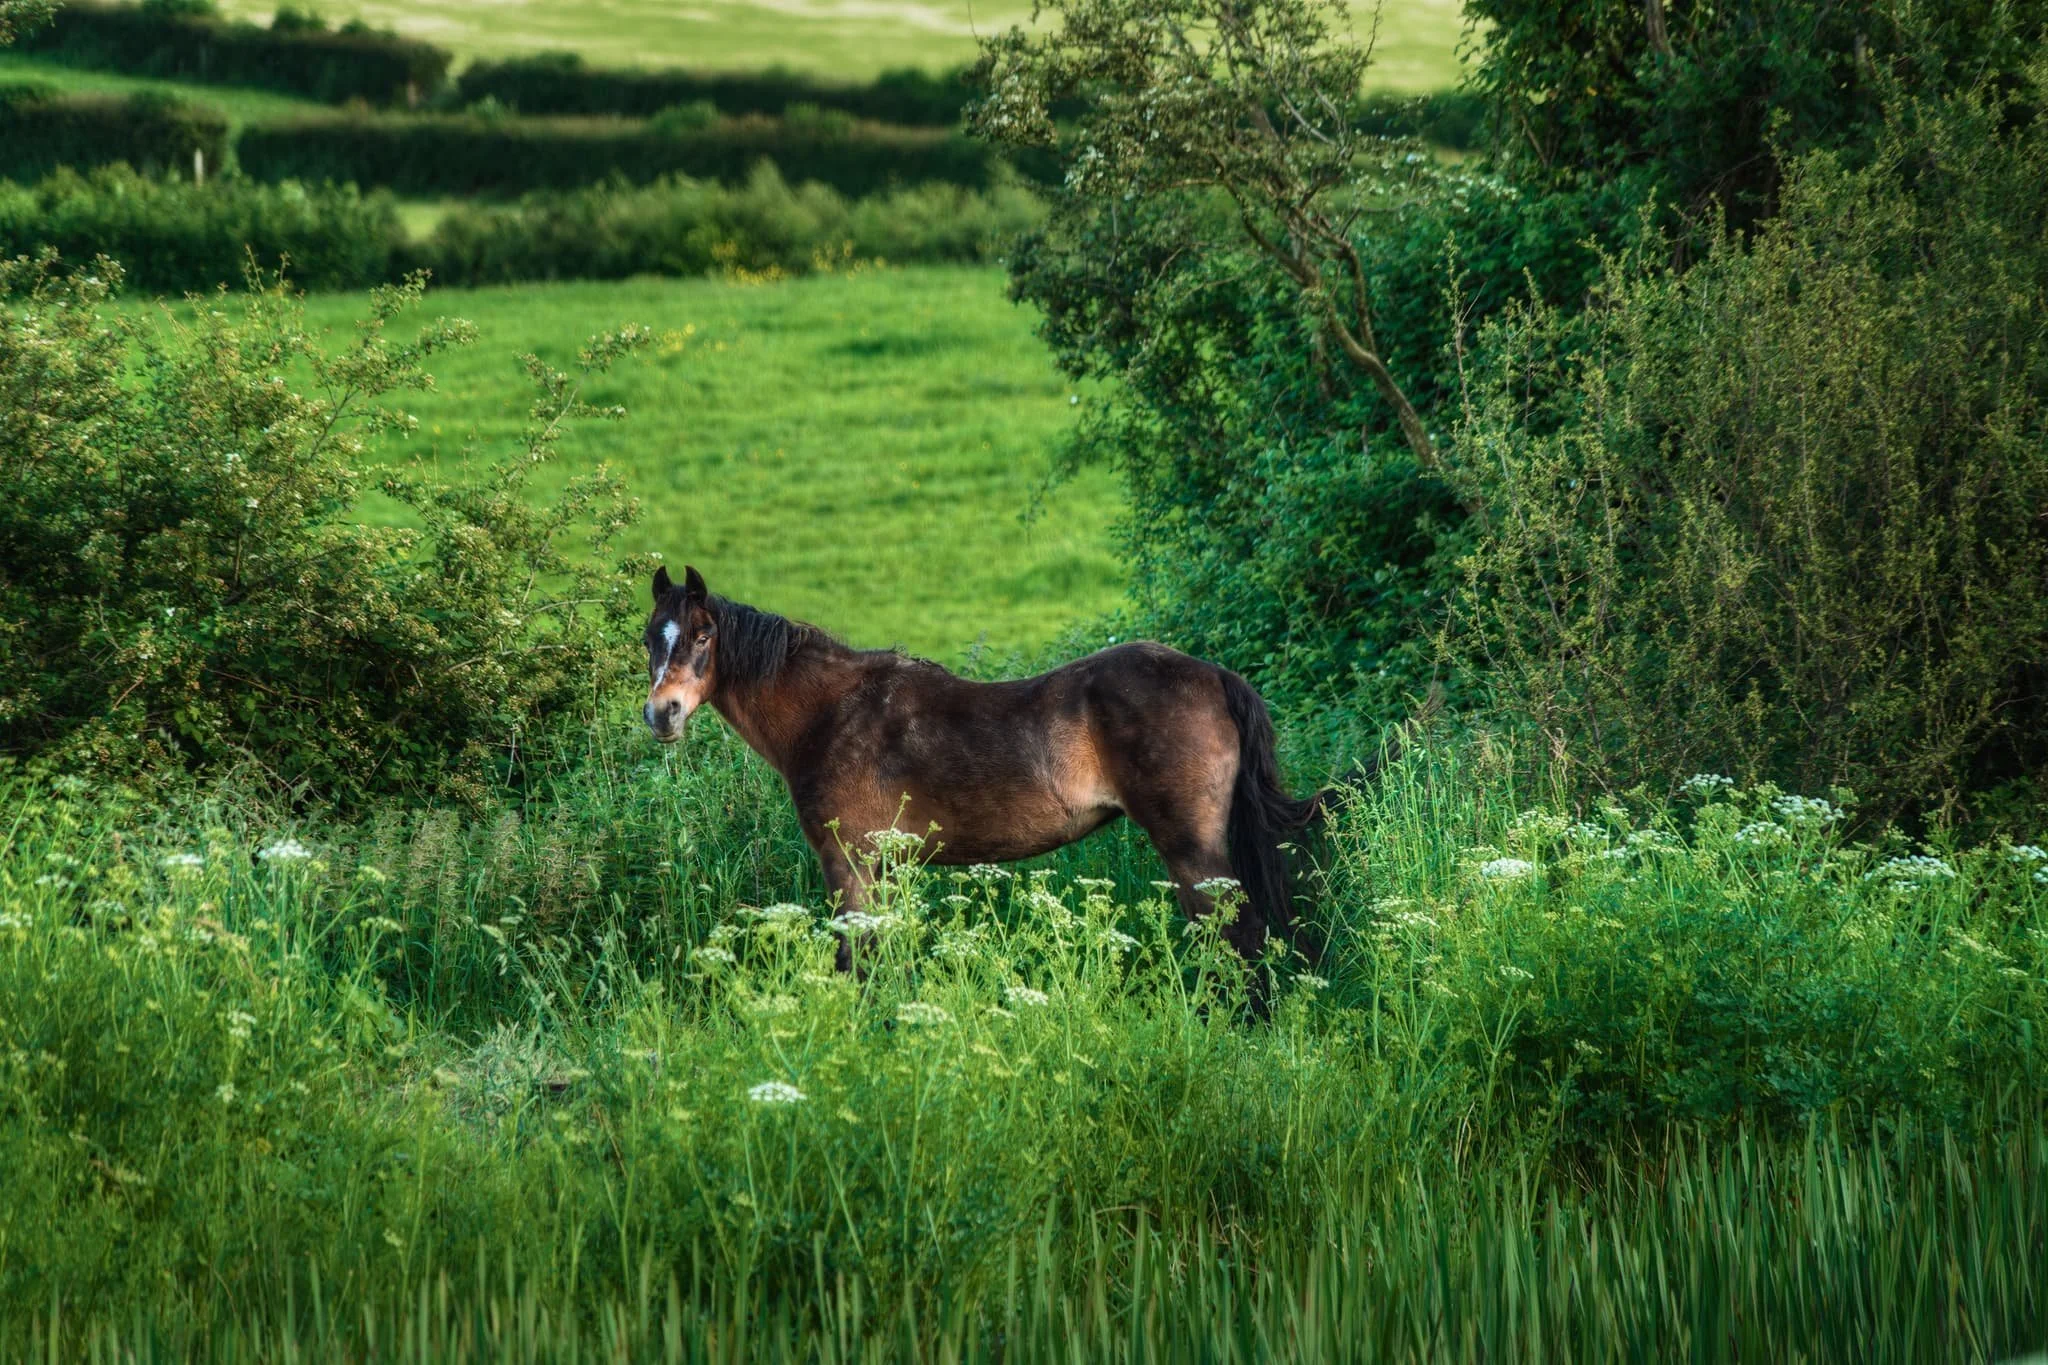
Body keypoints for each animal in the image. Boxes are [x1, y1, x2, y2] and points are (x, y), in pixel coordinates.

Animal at [642, 564, 1325, 965]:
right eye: (651, 636)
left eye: (703, 635)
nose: (662, 714)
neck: (830, 713)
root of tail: (1214, 676)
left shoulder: (849, 865)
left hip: (1191, 849)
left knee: (1239, 935)